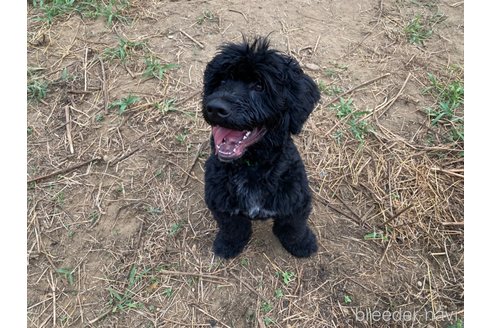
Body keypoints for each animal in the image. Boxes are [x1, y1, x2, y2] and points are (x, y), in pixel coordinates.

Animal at [202, 37, 320, 258]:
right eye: (220, 81)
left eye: (259, 85)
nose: (214, 108)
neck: (251, 167)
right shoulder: (220, 201)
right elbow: (232, 227)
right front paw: (228, 245)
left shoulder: (296, 200)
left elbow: (293, 226)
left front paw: (302, 244)